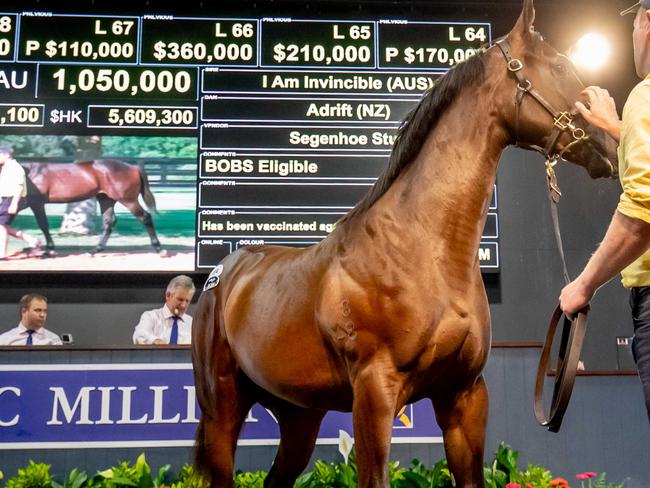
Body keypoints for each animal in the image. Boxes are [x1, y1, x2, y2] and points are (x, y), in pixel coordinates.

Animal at [20, 159, 162, 254]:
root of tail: (133, 167)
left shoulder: (36, 203)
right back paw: (96, 249)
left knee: (145, 217)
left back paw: (158, 248)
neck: (30, 174)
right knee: (109, 222)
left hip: (128, 200)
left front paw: (49, 249)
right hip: (106, 199)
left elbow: (43, 224)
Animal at [191, 0, 612, 488]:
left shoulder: (463, 395)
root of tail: (223, 275)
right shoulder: (375, 391)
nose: (607, 142)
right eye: (560, 65)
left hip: (300, 415)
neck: (422, 249)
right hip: (222, 408)